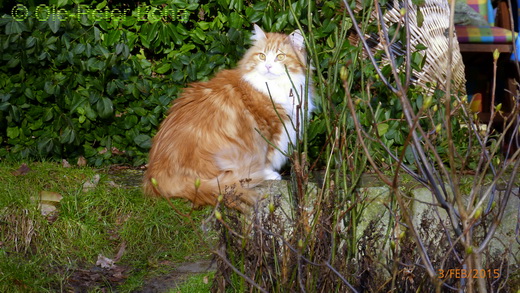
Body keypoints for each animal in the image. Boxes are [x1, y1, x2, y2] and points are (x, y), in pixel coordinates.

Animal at [141, 24, 312, 209]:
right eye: (262, 56)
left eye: (280, 57)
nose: (268, 66)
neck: (273, 86)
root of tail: (156, 176)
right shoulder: (269, 129)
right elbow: (267, 157)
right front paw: (269, 174)